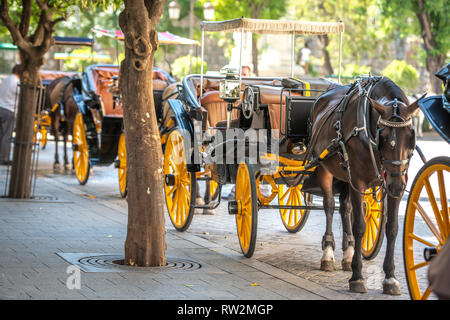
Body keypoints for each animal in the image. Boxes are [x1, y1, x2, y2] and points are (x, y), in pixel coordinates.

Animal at [310, 77, 426, 296]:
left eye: (411, 136)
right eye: (384, 135)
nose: (397, 185)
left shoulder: (393, 184)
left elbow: (392, 227)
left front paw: (390, 277)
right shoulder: (358, 181)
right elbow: (360, 226)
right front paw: (357, 277)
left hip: (345, 175)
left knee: (344, 208)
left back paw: (348, 254)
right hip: (323, 168)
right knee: (329, 206)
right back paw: (328, 253)